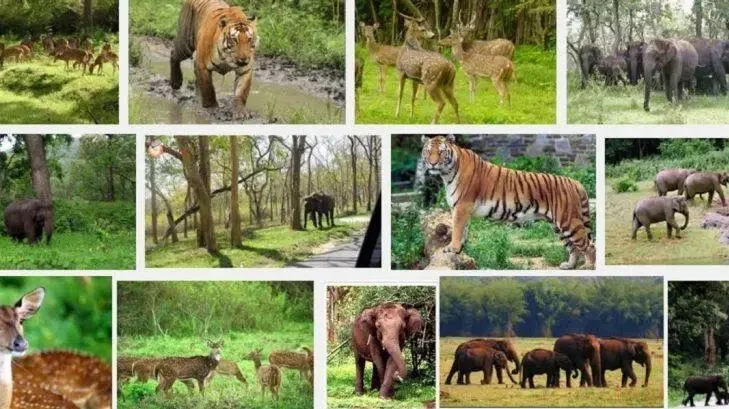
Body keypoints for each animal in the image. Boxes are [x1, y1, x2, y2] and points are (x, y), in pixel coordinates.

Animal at [422, 135, 595, 270]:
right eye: (428, 151)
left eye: (441, 152)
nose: (432, 163)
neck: (447, 173)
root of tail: (575, 182)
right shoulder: (464, 210)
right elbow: (463, 231)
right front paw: (458, 252)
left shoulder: (462, 207)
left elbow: (457, 230)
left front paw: (452, 248)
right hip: (559, 226)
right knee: (573, 248)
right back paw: (569, 265)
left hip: (569, 221)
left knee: (589, 245)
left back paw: (588, 266)